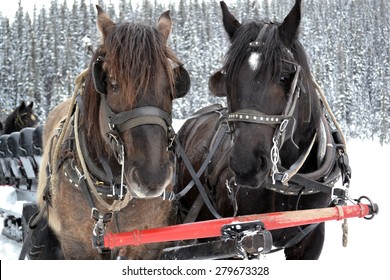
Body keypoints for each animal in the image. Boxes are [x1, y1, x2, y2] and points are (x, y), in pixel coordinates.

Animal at [36, 5, 189, 260]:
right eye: (113, 83)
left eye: (171, 86)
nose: (152, 178)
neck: (112, 190)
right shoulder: (77, 244)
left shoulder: (147, 241)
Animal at [175, 0, 346, 260]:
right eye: (228, 79)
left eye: (285, 76)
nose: (246, 166)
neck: (286, 182)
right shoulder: (234, 241)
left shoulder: (310, 240)